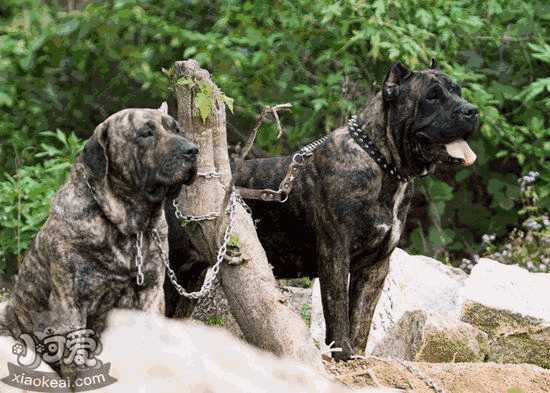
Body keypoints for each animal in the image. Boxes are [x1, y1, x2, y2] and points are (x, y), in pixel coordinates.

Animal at [0, 106, 198, 374]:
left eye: (177, 129)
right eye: (146, 133)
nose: (193, 151)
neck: (129, 225)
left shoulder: (152, 293)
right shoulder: (70, 305)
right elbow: (78, 362)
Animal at [231, 62, 480, 360]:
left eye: (458, 91)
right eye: (432, 96)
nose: (471, 111)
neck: (384, 164)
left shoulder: (375, 266)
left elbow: (361, 317)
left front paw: (357, 353)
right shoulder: (335, 254)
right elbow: (338, 308)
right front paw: (342, 352)